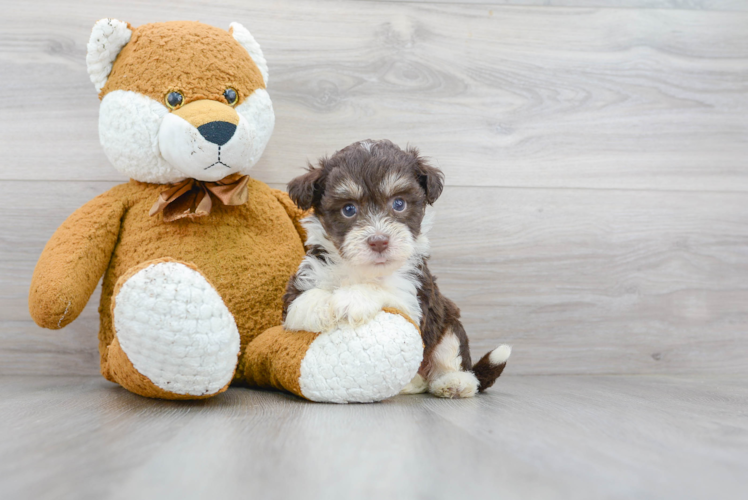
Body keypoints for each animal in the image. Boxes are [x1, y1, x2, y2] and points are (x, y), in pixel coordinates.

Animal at [280, 139, 508, 396]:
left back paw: (454, 382)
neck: (363, 270)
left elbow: (384, 290)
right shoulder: (305, 278)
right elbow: (300, 301)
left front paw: (352, 298)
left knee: (451, 356)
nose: (379, 241)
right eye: (348, 209)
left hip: (448, 322)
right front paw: (320, 306)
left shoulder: (414, 297)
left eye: (399, 204)